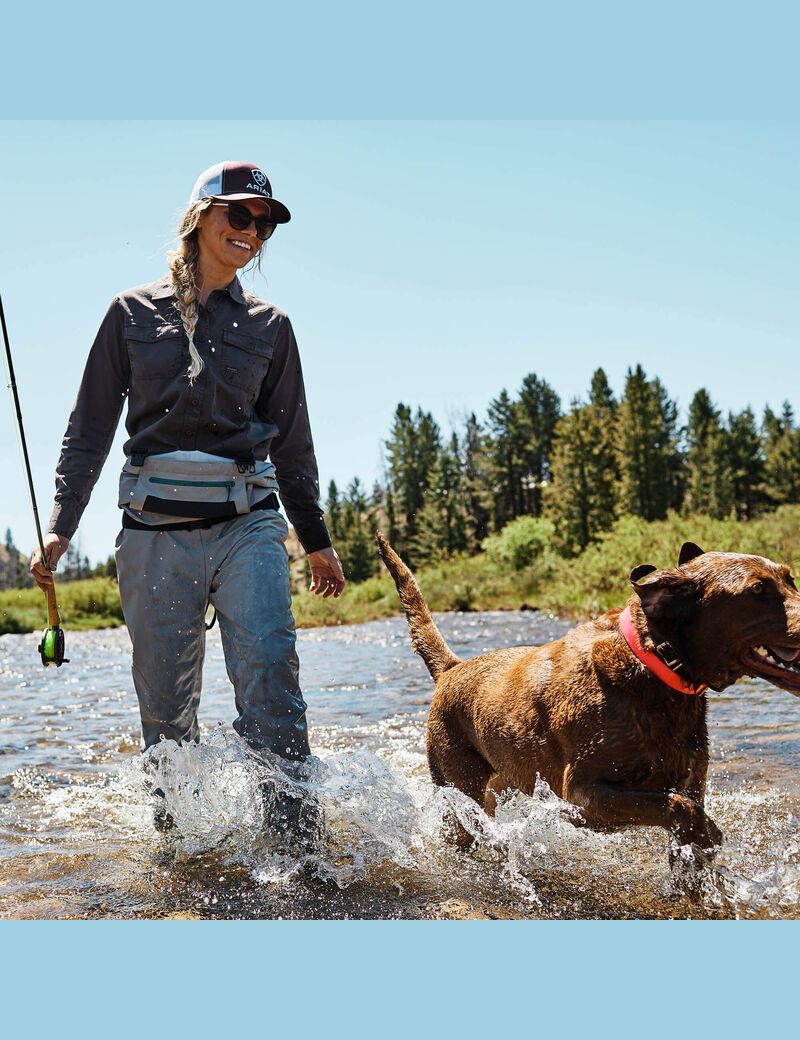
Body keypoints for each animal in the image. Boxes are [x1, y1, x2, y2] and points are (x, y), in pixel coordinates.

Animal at [378, 536, 798, 861]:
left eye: (790, 578)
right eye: (756, 590)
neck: (652, 663)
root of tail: (451, 669)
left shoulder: (692, 780)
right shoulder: (583, 797)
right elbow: (679, 808)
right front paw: (709, 833)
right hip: (458, 787)